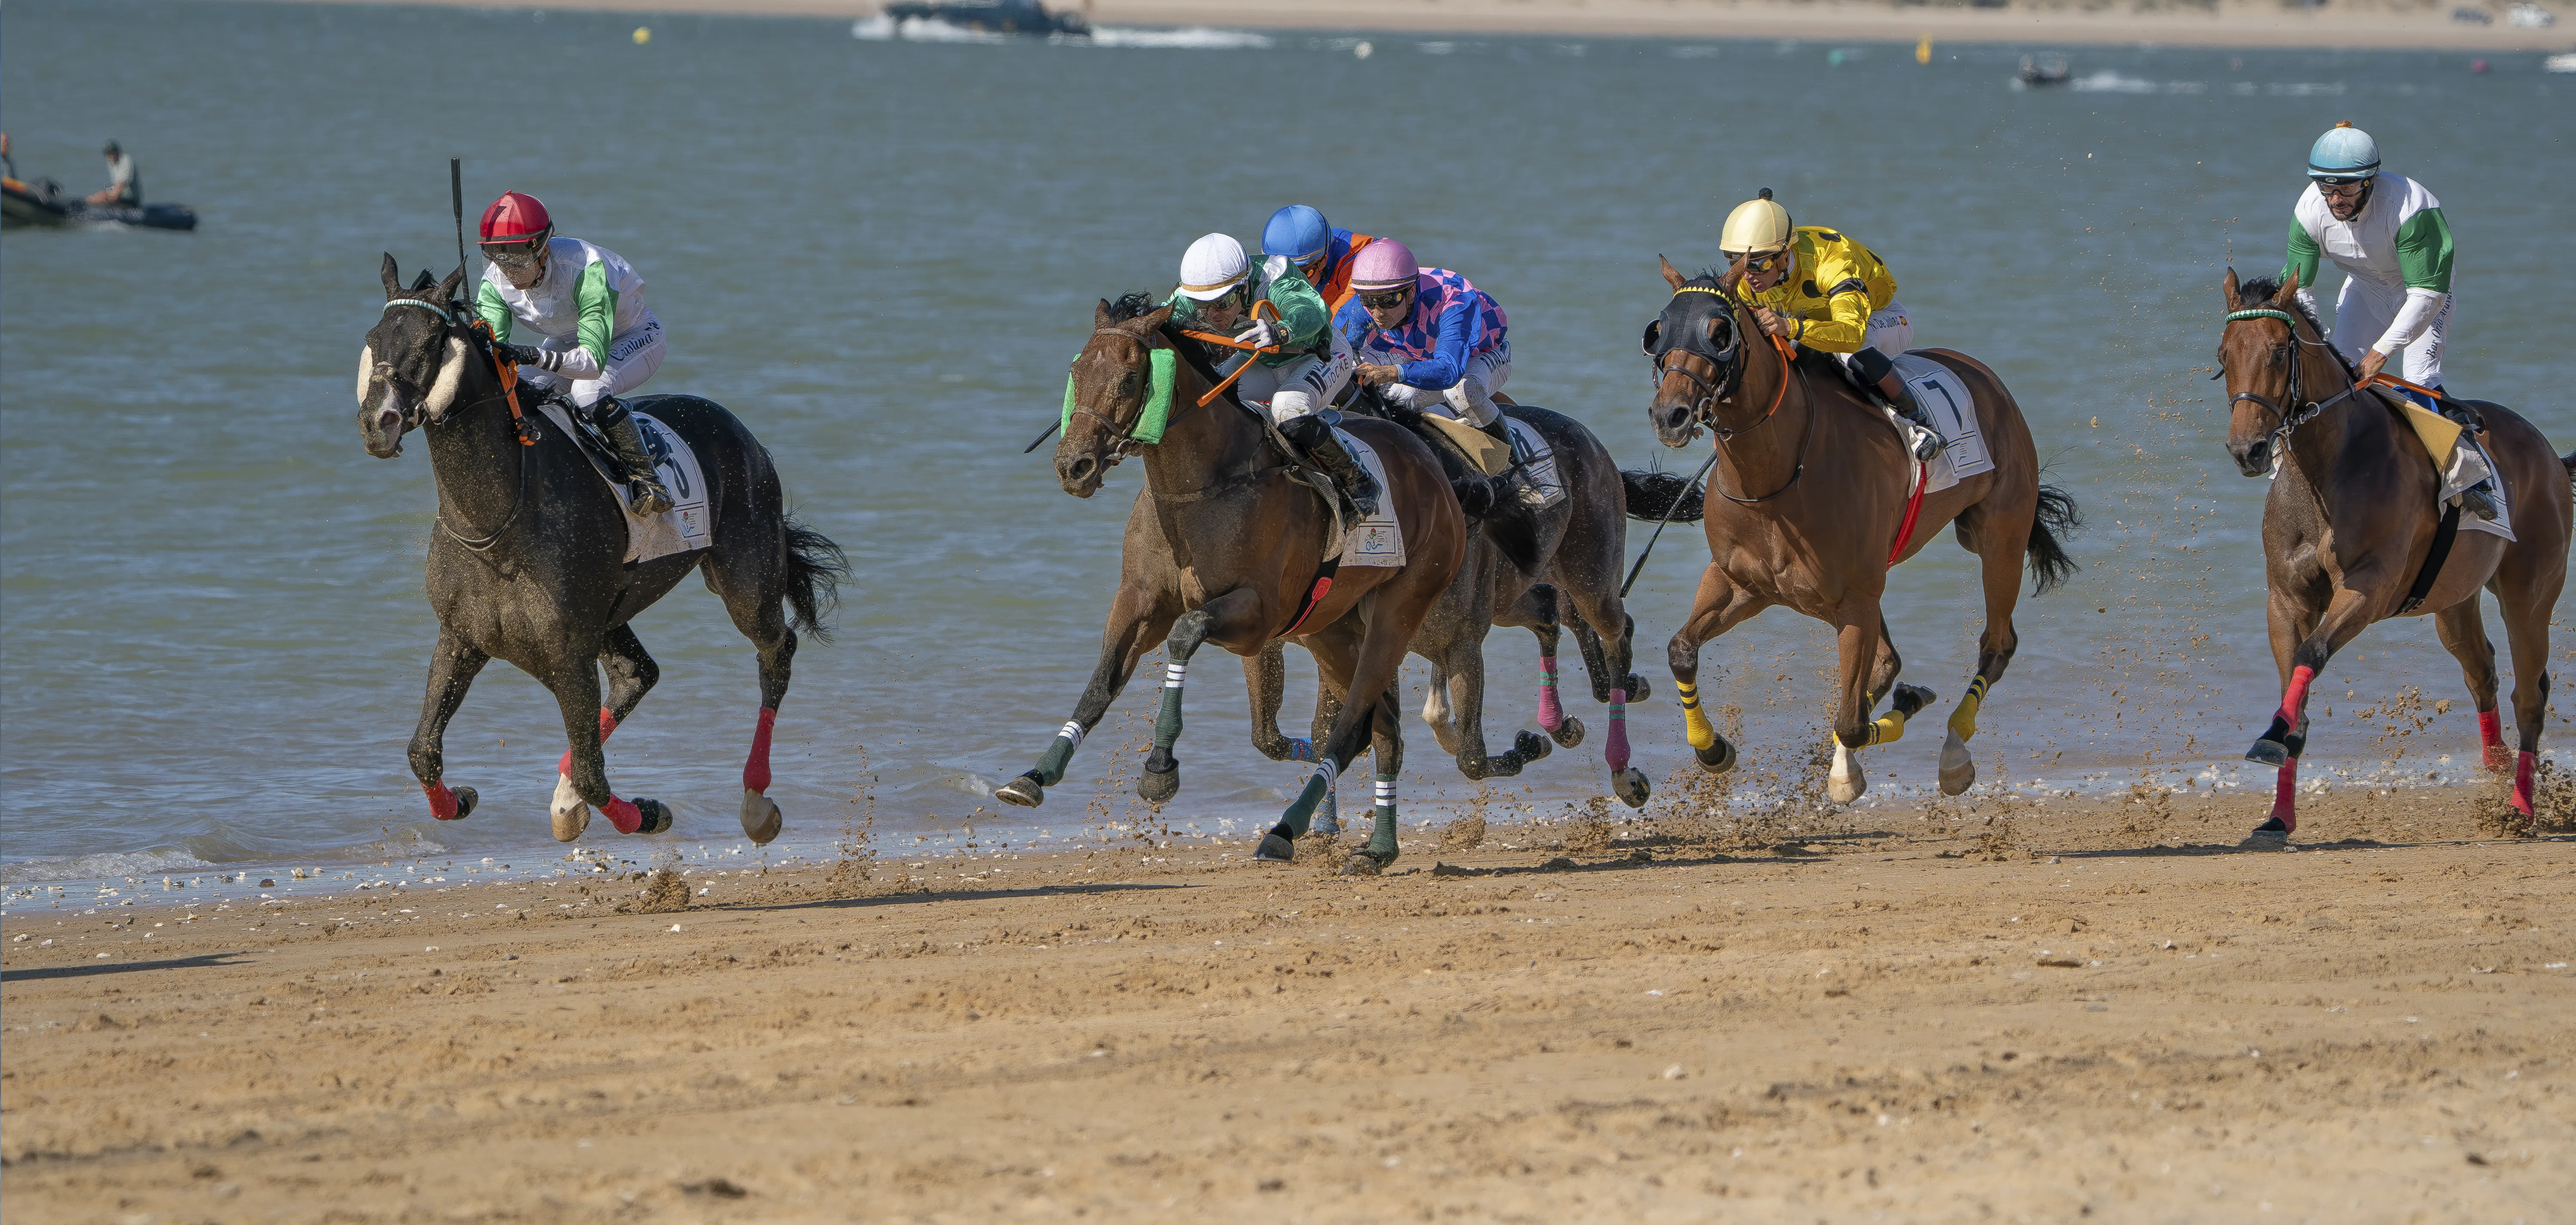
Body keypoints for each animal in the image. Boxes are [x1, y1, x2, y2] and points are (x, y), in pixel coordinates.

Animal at [356, 256, 845, 844]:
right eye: (374, 337)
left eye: (430, 341)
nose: (377, 422)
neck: (498, 525)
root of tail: (742, 432)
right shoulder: (462, 637)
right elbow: (422, 751)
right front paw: (464, 799)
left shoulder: (569, 657)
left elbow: (595, 776)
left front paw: (649, 813)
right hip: (613, 608)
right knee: (638, 674)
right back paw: (566, 798)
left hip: (747, 579)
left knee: (776, 652)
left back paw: (755, 800)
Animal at [993, 294, 1465, 874]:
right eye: (1077, 372)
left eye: (1129, 379)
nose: (1073, 466)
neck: (1203, 488)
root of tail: (1434, 467)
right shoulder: (1139, 600)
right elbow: (1101, 683)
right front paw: (1035, 774)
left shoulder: (1258, 617)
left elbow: (1185, 633)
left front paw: (1159, 767)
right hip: (1332, 629)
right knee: (1383, 732)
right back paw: (1378, 848)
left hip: (1401, 608)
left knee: (1350, 726)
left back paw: (1285, 831)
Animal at [1242, 401, 1657, 815]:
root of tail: (1586, 437)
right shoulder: (1309, 642)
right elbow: (1282, 736)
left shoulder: (1456, 641)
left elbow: (1470, 757)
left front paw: (1524, 747)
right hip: (1512, 594)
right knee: (1550, 612)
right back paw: (1566, 722)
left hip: (1589, 573)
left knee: (1612, 633)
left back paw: (1623, 766)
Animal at [1638, 257, 2079, 802]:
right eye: (1658, 331)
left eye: (1720, 332)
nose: (1670, 416)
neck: (1778, 477)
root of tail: (1989, 381)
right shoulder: (1742, 584)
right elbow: (1681, 650)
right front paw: (1713, 748)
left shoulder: (1855, 600)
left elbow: (1850, 721)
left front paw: (1853, 763)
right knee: (1889, 662)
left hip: (1999, 539)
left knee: (1996, 647)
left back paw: (1954, 752)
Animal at [2215, 269, 2571, 835]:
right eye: (2225, 354)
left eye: (2275, 352)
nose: (2246, 451)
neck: (2329, 467)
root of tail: (2550, 455)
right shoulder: (2286, 598)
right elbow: (2296, 684)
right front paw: (2278, 813)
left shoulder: (2369, 589)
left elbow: (2311, 654)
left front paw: (2271, 739)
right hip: (2454, 600)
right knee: (2481, 672)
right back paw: (2495, 769)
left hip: (2530, 595)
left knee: (2529, 696)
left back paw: (2519, 808)